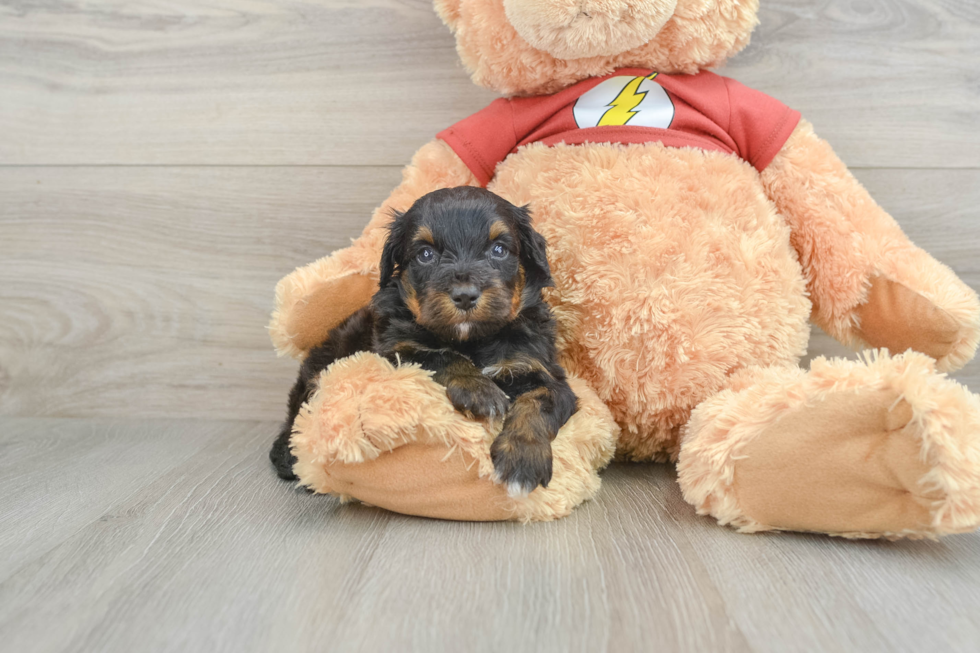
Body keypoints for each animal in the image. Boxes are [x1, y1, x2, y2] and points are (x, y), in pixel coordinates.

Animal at [270, 186, 576, 496]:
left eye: (499, 249)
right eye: (425, 254)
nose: (465, 295)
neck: (472, 340)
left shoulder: (540, 368)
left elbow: (538, 402)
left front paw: (523, 460)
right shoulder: (395, 350)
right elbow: (440, 355)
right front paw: (479, 391)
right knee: (299, 412)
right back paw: (287, 455)